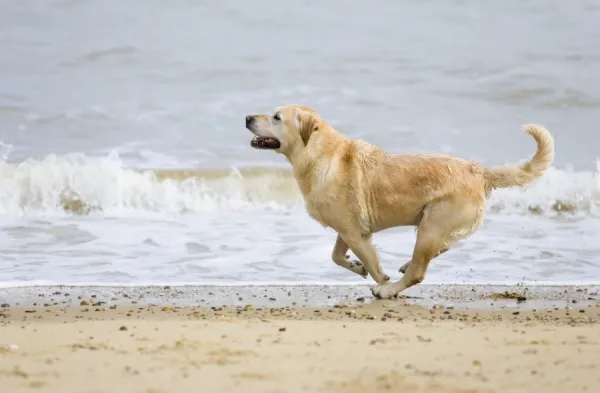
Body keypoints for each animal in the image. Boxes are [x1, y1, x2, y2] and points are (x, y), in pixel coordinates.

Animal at [244, 104, 552, 298]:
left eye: (276, 117)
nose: (247, 117)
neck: (320, 154)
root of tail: (480, 170)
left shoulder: (354, 233)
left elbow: (371, 263)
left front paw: (381, 280)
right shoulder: (348, 230)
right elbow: (336, 256)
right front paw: (355, 267)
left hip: (431, 227)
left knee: (419, 272)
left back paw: (390, 289)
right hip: (434, 225)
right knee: (441, 249)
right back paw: (405, 265)